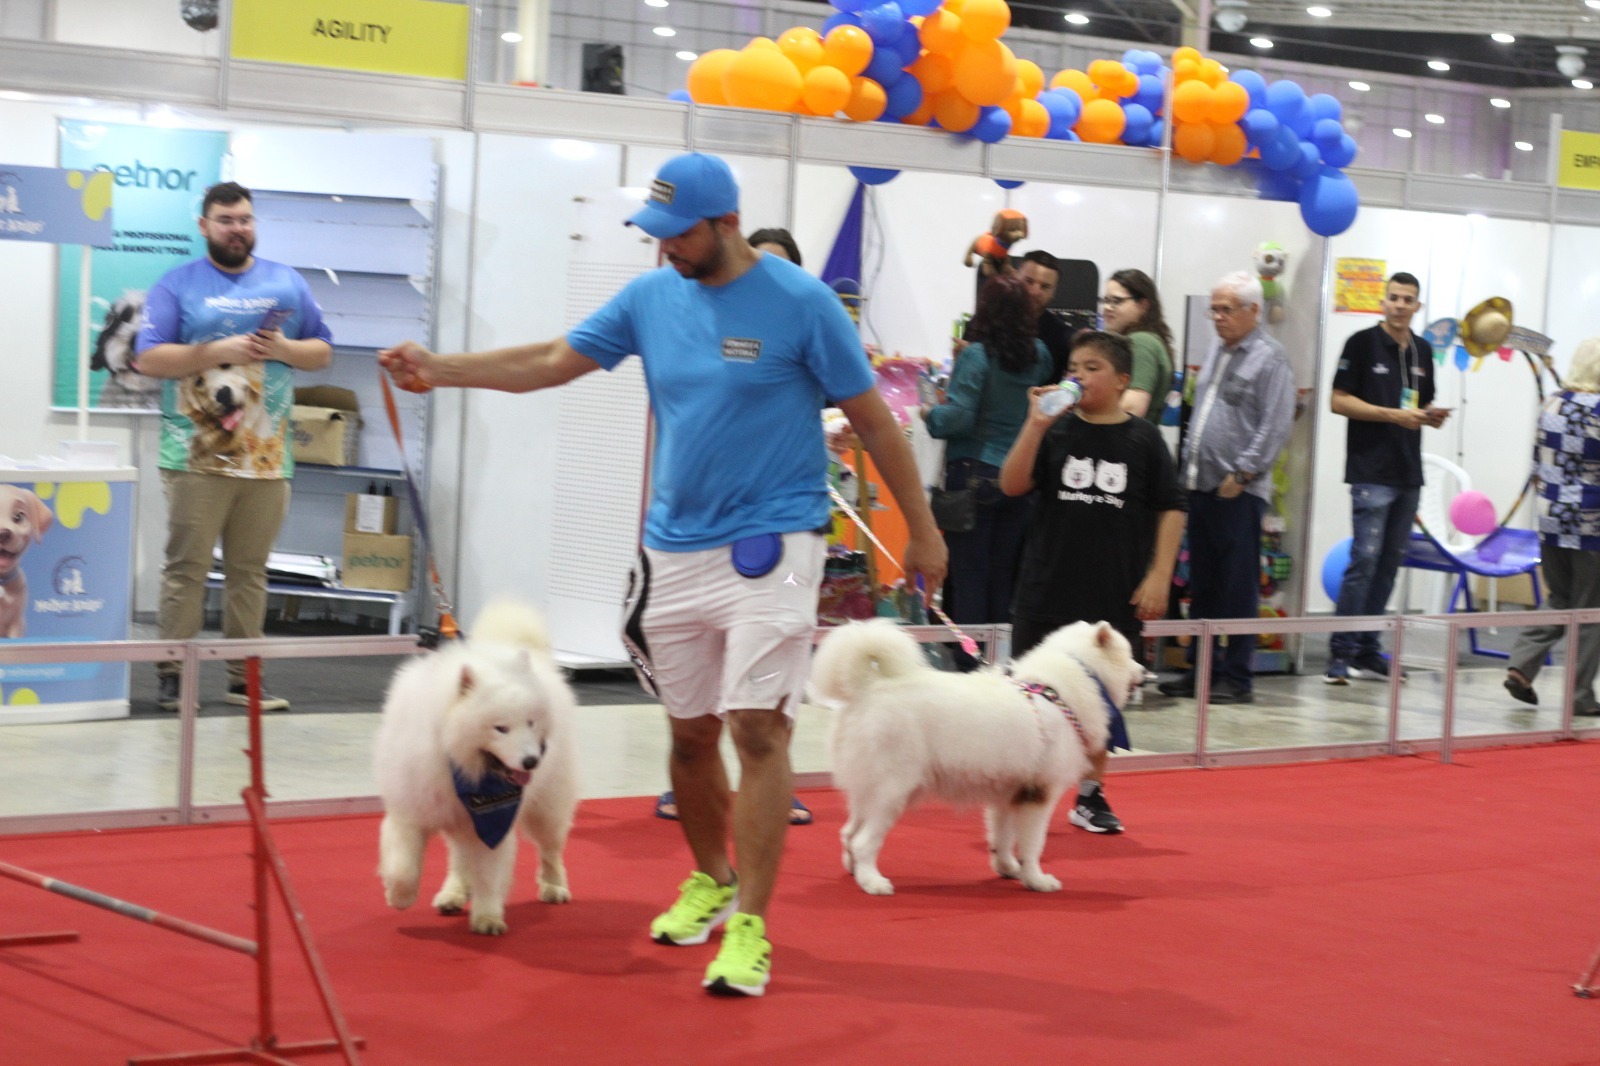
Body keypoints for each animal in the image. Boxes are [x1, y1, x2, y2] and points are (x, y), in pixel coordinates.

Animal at [371, 598, 579, 928]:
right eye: (501, 728)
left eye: (531, 723)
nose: (531, 761)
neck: (462, 764)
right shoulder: (411, 811)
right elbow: (403, 866)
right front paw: (399, 896)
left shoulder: (493, 824)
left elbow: (489, 875)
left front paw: (488, 917)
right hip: (462, 821)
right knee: (459, 860)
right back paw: (452, 894)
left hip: (547, 808)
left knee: (550, 849)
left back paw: (554, 886)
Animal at [812, 617, 1139, 889]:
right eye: (1130, 654)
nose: (1145, 671)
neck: (1056, 692)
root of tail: (866, 687)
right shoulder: (1039, 794)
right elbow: (1033, 845)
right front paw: (1037, 880)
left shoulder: (1009, 794)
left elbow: (1003, 838)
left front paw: (1008, 868)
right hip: (892, 790)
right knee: (864, 842)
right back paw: (873, 882)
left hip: (868, 788)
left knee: (848, 833)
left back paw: (854, 871)